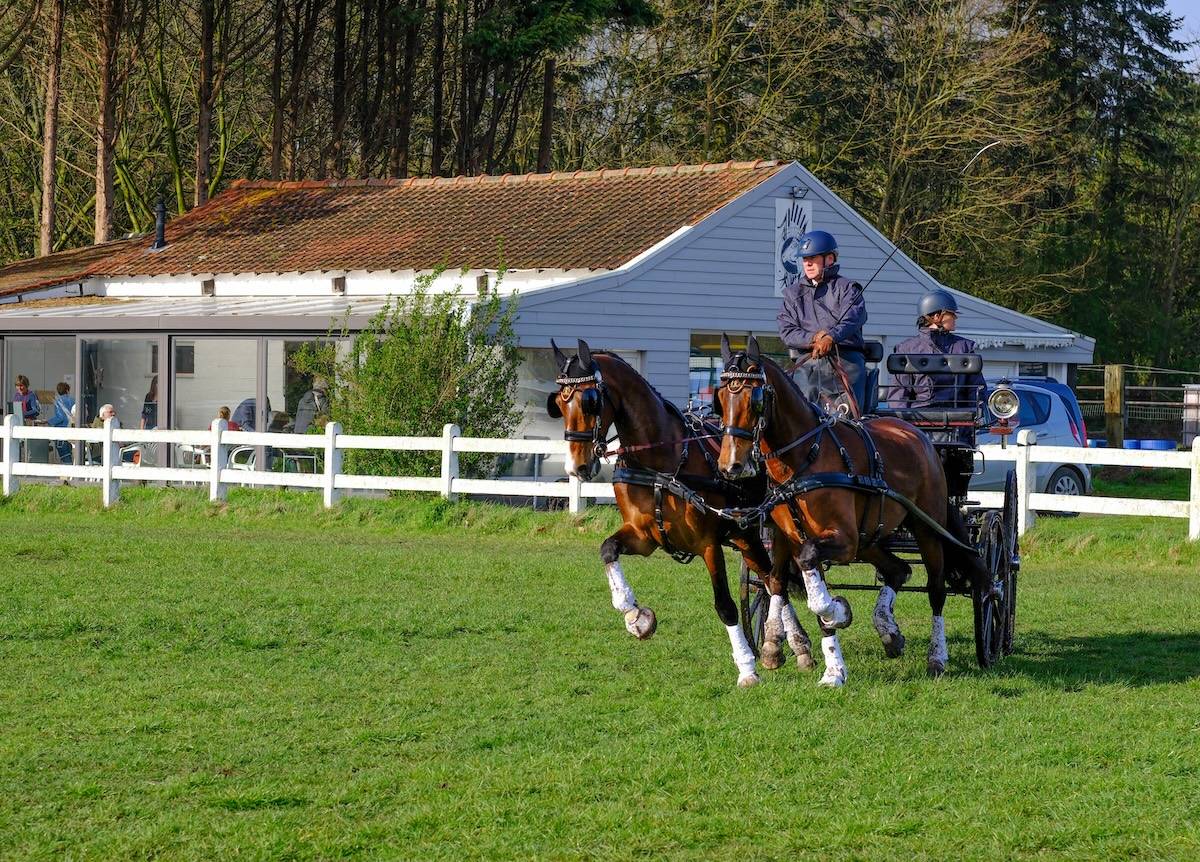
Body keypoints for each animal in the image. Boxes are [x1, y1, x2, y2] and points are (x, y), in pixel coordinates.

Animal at [547, 340, 816, 686]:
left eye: (590, 401)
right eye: (559, 403)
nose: (577, 467)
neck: (662, 464)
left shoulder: (708, 544)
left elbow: (725, 605)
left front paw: (746, 669)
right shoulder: (643, 536)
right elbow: (607, 549)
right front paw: (634, 614)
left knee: (774, 581)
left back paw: (785, 644)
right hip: (745, 535)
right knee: (770, 581)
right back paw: (791, 645)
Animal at [710, 338, 984, 686]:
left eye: (755, 399)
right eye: (720, 399)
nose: (730, 465)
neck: (805, 458)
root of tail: (918, 434)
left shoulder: (840, 540)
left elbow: (816, 595)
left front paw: (838, 614)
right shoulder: (791, 536)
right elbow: (784, 584)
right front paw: (817, 662)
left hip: (926, 529)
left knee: (936, 590)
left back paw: (937, 656)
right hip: (870, 537)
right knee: (897, 571)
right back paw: (888, 631)